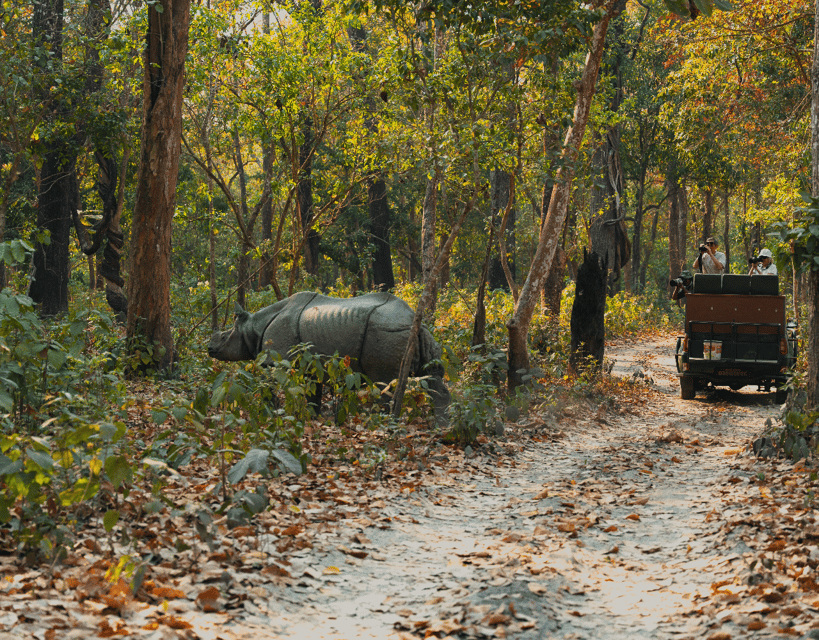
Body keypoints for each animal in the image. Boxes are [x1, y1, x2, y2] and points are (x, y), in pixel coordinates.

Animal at [208, 291, 450, 420]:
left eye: (224, 337)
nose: (209, 348)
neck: (252, 328)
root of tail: (413, 321)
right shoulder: (311, 364)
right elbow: (313, 393)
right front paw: (313, 418)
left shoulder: (273, 361)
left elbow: (270, 388)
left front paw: (269, 415)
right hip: (417, 334)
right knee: (432, 379)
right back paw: (442, 429)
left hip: (386, 332)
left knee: (384, 384)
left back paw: (382, 423)